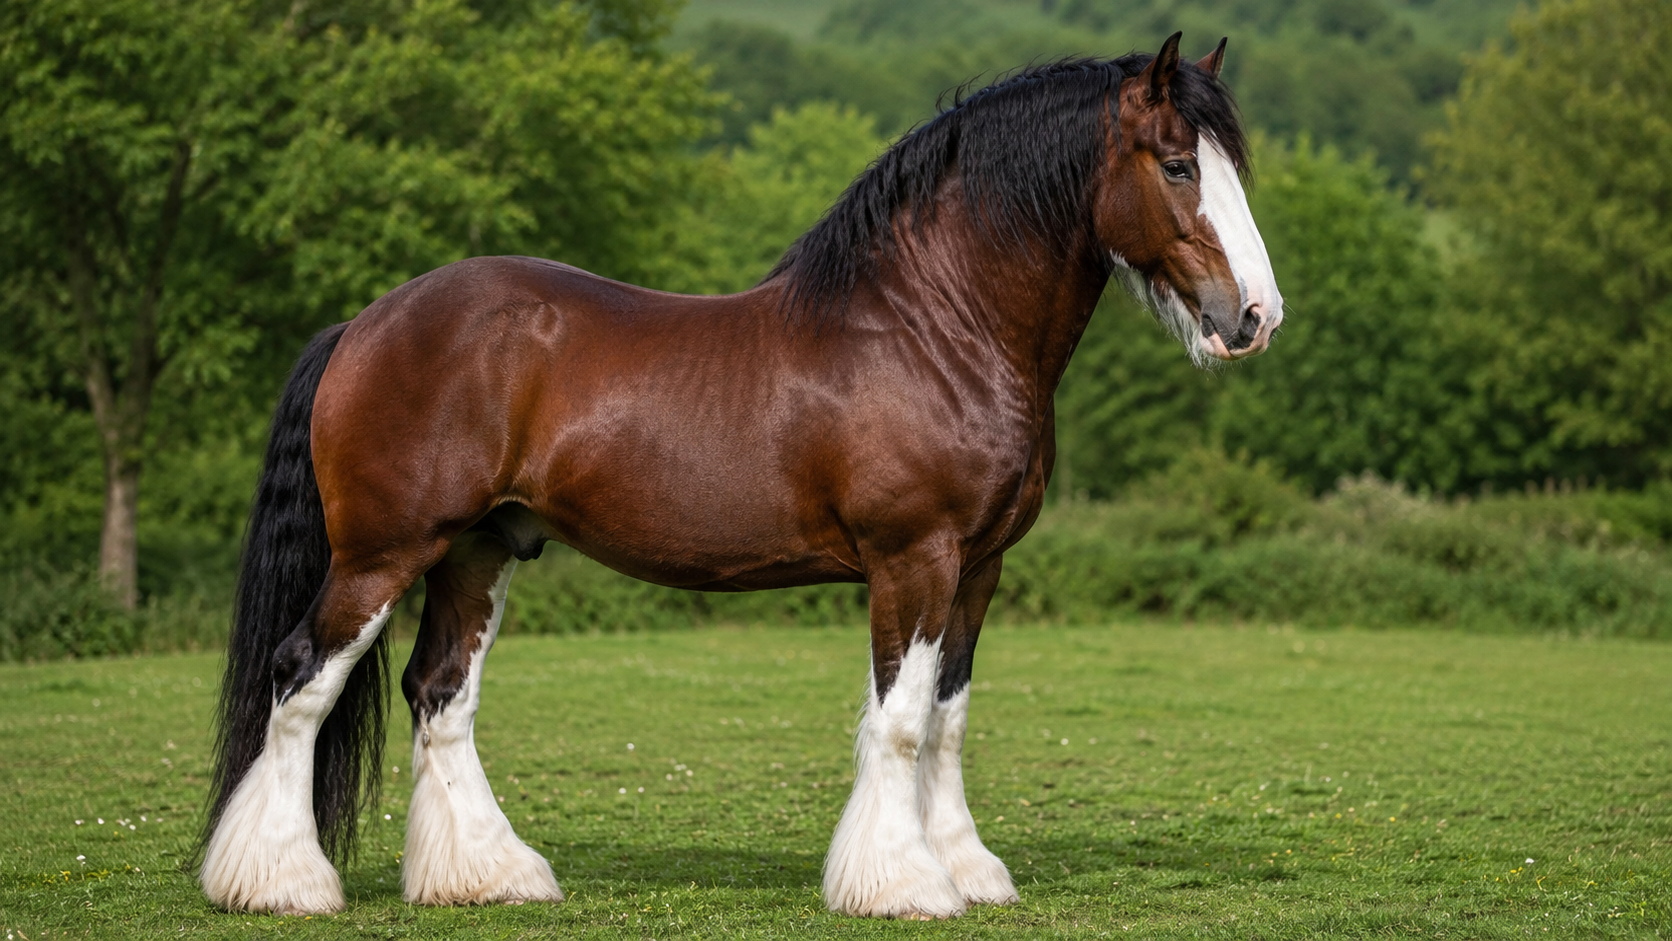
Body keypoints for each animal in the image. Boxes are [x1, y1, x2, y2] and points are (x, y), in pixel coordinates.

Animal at [197, 32, 1282, 920]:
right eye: (1178, 164)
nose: (1255, 316)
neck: (934, 326)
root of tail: (364, 323)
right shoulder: (913, 559)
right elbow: (899, 722)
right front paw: (901, 882)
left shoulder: (979, 567)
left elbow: (947, 718)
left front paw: (967, 867)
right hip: (382, 552)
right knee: (300, 678)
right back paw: (282, 882)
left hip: (477, 548)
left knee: (439, 693)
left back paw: (486, 874)